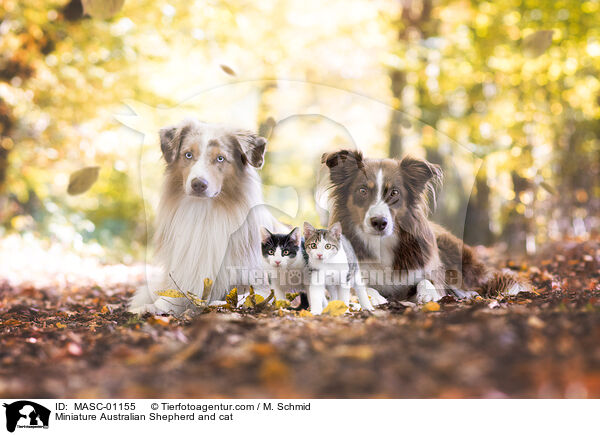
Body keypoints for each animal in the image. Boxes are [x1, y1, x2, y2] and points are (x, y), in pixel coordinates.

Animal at [129, 119, 278, 314]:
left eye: (220, 158)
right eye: (188, 155)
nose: (198, 184)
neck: (204, 212)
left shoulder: (260, 282)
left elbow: (245, 296)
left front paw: (220, 303)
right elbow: (169, 297)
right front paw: (148, 308)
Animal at [318, 150, 524, 304]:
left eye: (395, 193)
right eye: (362, 190)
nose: (379, 222)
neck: (381, 244)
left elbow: (428, 280)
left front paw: (430, 293)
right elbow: (358, 287)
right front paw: (372, 296)